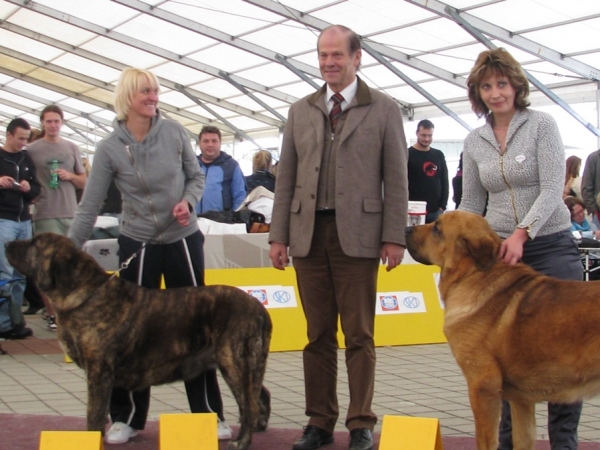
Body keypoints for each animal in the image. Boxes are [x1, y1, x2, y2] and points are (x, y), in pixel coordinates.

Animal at [4, 232, 272, 450]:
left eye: (34, 243)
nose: (6, 243)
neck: (85, 293)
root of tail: (258, 308)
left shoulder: (98, 372)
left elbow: (94, 414)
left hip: (234, 362)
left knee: (248, 404)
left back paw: (242, 441)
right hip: (247, 365)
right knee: (260, 394)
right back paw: (259, 426)